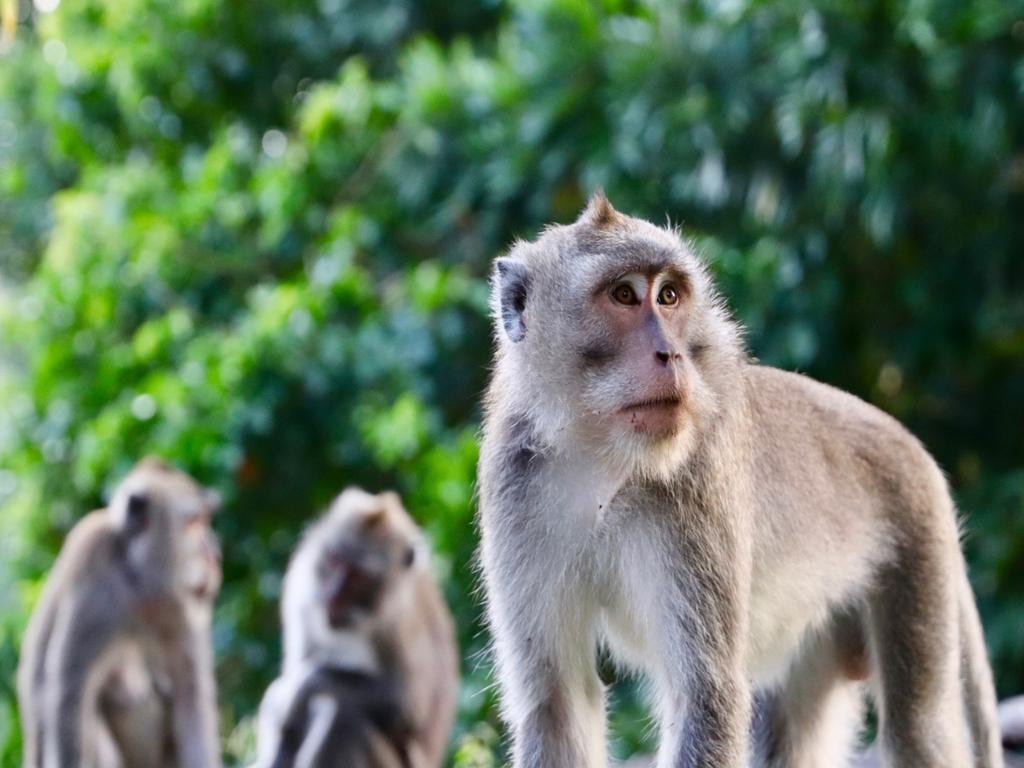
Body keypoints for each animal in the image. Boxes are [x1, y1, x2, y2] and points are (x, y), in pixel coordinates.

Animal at [17, 456, 222, 768]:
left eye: (204, 521)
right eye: (193, 523)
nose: (214, 554)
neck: (135, 578)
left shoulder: (178, 607)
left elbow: (190, 694)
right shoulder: (93, 569)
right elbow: (69, 690)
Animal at [253, 488, 459, 768]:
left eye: (358, 577)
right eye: (335, 561)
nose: (333, 596)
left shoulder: (399, 622)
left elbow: (406, 706)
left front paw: (303, 688)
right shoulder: (301, 593)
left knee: (343, 715)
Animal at [477, 192, 1003, 768]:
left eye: (668, 296)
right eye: (623, 295)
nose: (671, 353)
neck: (602, 459)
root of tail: (912, 447)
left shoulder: (698, 482)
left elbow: (705, 695)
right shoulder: (513, 485)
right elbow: (557, 701)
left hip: (916, 544)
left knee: (917, 729)